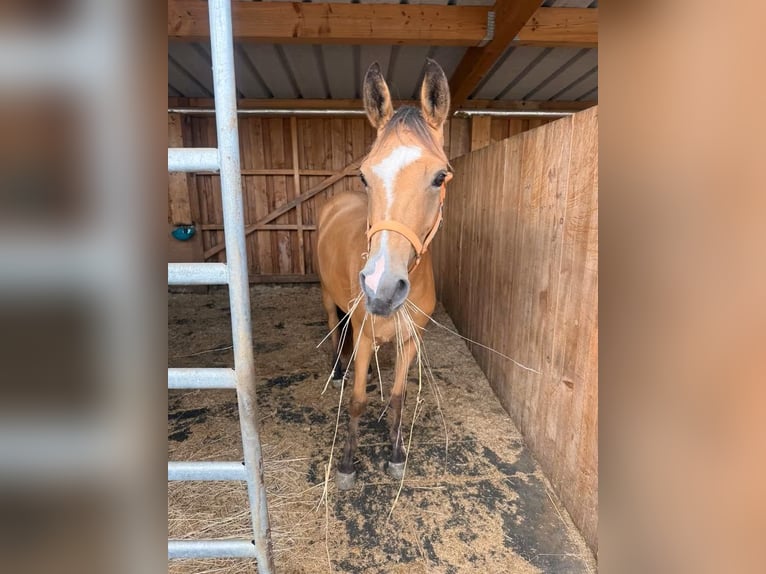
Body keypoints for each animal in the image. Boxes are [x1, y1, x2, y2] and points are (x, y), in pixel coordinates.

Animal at [316, 59, 453, 490]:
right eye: (364, 176)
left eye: (440, 177)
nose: (381, 287)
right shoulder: (362, 337)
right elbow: (357, 401)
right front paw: (346, 465)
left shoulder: (410, 340)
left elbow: (397, 397)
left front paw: (395, 455)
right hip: (327, 296)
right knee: (333, 325)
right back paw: (337, 370)